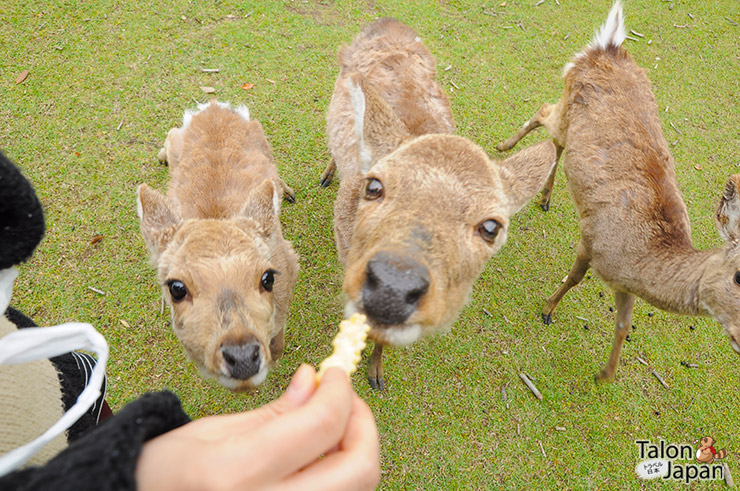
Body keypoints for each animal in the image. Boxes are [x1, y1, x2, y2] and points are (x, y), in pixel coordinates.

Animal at [494, 0, 740, 384]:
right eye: (739, 277)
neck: (639, 257)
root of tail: (607, 46)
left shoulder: (627, 286)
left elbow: (624, 324)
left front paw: (604, 374)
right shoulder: (593, 241)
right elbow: (576, 278)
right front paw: (547, 309)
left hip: (571, 125)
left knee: (556, 143)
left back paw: (546, 197)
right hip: (565, 104)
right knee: (543, 112)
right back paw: (504, 146)